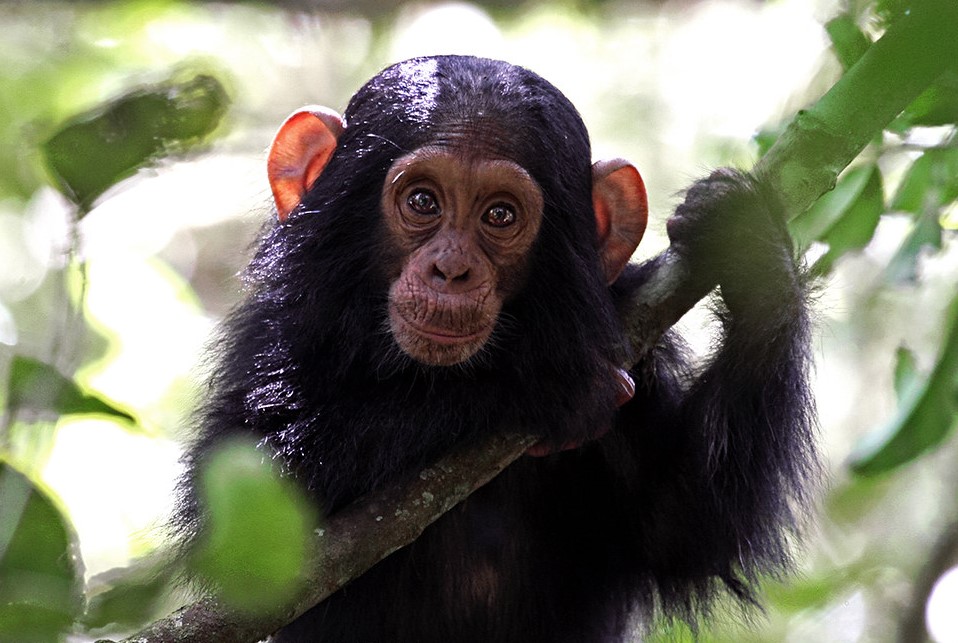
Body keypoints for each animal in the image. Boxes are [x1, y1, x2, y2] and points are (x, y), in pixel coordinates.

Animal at [178, 55, 816, 643]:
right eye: (423, 202)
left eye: (500, 215)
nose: (451, 269)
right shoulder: (278, 333)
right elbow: (253, 504)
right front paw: (540, 386)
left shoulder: (636, 326)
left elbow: (680, 524)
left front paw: (751, 249)